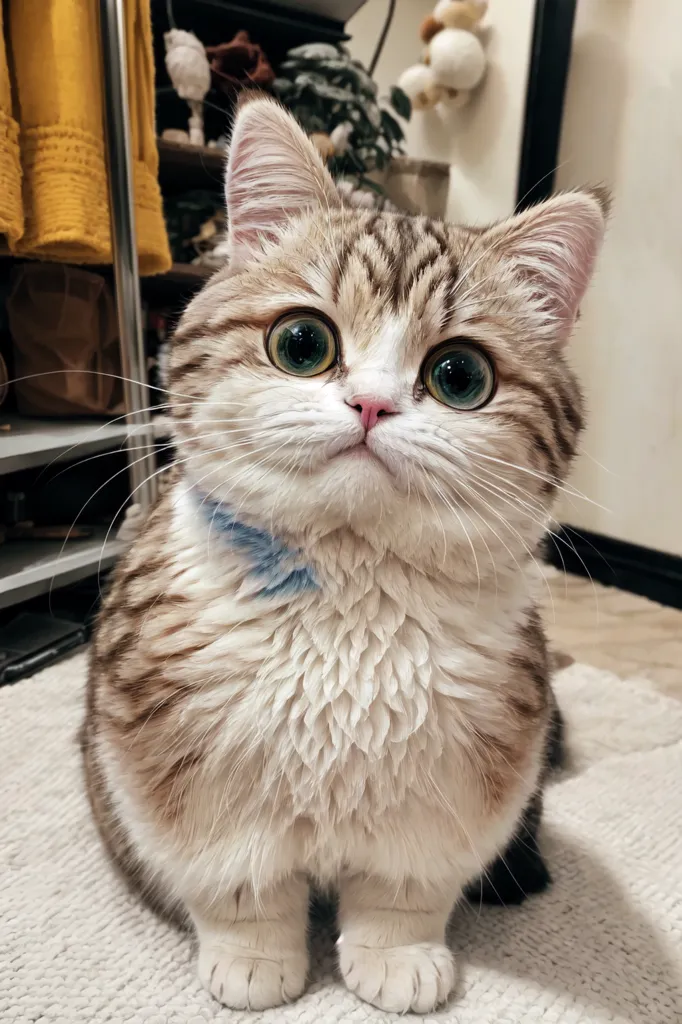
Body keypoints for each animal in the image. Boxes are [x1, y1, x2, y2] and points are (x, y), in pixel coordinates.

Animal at [80, 97, 606, 1015]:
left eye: (460, 376)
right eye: (302, 344)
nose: (371, 404)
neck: (350, 603)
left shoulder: (455, 787)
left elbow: (402, 893)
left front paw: (397, 956)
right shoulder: (182, 771)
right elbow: (238, 887)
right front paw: (253, 957)